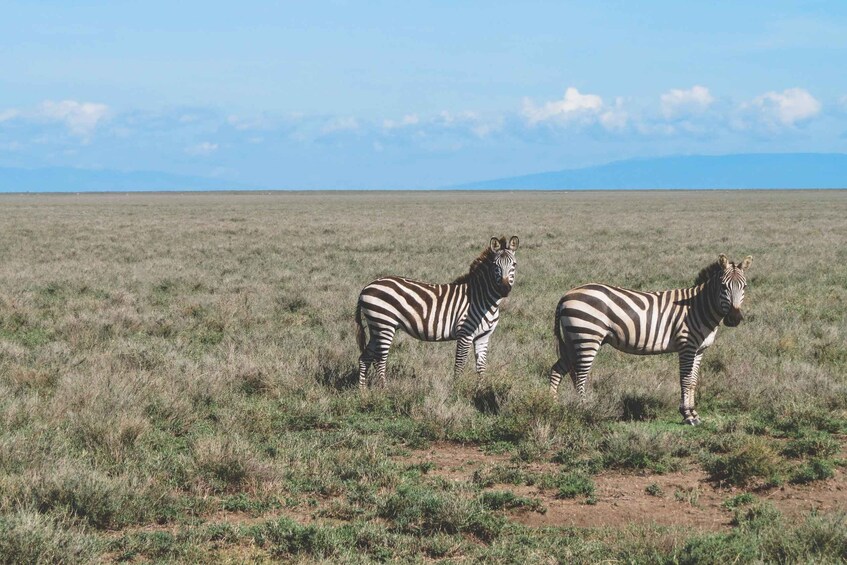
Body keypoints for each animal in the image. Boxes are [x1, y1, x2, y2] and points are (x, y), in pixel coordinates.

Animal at [356, 235, 520, 388]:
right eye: (495, 266)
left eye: (514, 264)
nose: (504, 289)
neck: (482, 298)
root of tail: (367, 286)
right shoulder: (465, 334)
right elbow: (459, 365)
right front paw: (456, 390)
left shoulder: (483, 337)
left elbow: (481, 367)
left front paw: (479, 390)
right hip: (384, 325)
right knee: (380, 360)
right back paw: (384, 391)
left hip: (376, 327)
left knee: (364, 358)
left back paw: (363, 392)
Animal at [548, 254, 756, 424]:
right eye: (723, 287)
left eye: (744, 286)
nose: (734, 319)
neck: (698, 307)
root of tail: (566, 295)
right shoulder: (687, 346)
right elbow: (685, 379)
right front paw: (687, 415)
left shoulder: (699, 350)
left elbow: (693, 381)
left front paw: (694, 413)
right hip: (587, 338)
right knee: (580, 376)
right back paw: (584, 409)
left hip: (572, 341)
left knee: (557, 370)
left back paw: (553, 406)